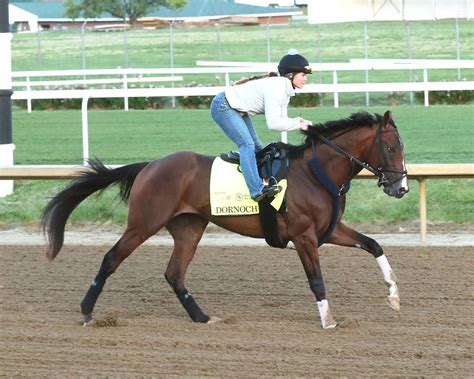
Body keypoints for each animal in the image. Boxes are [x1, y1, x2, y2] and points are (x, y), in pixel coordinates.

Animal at [42, 110, 410, 330]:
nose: (402, 187)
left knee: (174, 273)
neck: (316, 172)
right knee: (111, 258)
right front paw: (329, 320)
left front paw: (394, 295)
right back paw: (87, 311)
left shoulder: (328, 230)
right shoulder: (304, 234)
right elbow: (316, 279)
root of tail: (150, 165)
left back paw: (202, 317)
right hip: (143, 223)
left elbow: (373, 244)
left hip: (189, 228)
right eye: (392, 148)